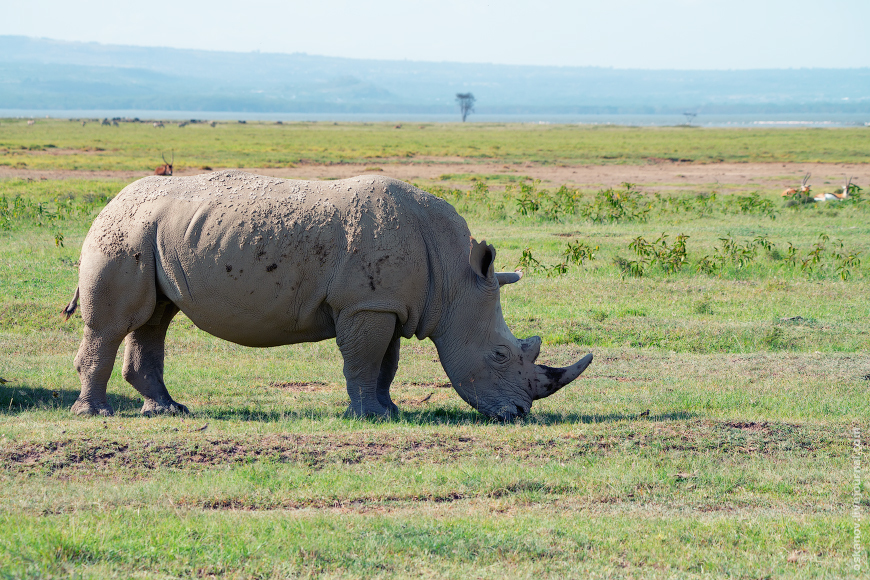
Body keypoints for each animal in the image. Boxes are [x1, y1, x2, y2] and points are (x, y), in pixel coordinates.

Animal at [63, 170, 592, 420]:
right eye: (501, 355)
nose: (519, 414)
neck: (454, 275)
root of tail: (110, 201)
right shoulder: (365, 305)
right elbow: (363, 359)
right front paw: (368, 417)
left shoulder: (385, 304)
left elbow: (386, 362)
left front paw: (388, 412)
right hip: (124, 232)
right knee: (116, 324)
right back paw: (96, 414)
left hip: (154, 232)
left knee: (156, 318)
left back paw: (169, 411)